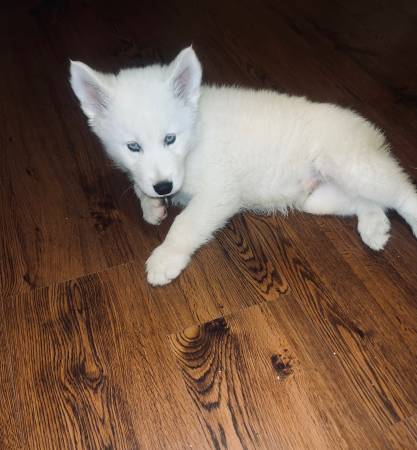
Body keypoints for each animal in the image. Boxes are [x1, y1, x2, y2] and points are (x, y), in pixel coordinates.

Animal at [70, 45, 416, 284]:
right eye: (133, 147)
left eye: (170, 139)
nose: (164, 187)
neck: (195, 138)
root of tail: (368, 129)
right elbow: (140, 184)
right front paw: (152, 205)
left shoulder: (219, 192)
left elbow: (186, 223)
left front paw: (166, 257)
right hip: (320, 197)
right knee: (368, 201)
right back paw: (375, 227)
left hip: (349, 164)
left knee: (402, 194)